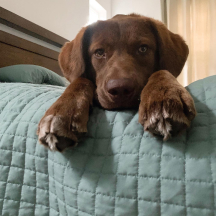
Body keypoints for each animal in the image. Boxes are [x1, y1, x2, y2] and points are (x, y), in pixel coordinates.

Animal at [37, 13, 196, 152]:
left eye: (143, 48)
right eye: (99, 52)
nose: (120, 89)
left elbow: (162, 71)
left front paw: (163, 98)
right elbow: (79, 81)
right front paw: (62, 112)